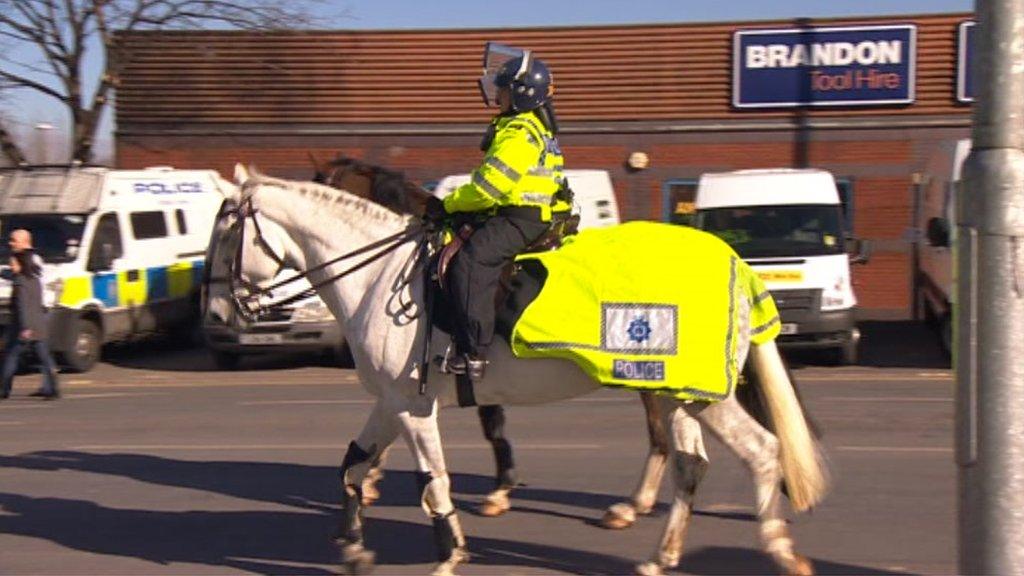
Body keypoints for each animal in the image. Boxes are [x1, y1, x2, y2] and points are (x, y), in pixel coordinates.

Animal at [228, 163, 827, 569]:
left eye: (230, 229)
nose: (232, 305)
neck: (387, 272)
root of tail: (734, 262)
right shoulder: (395, 399)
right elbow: (355, 461)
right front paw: (354, 539)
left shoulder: (414, 402)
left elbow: (435, 474)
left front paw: (454, 540)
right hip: (680, 393)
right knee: (690, 464)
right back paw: (660, 550)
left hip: (691, 393)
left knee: (759, 450)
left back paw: (774, 548)